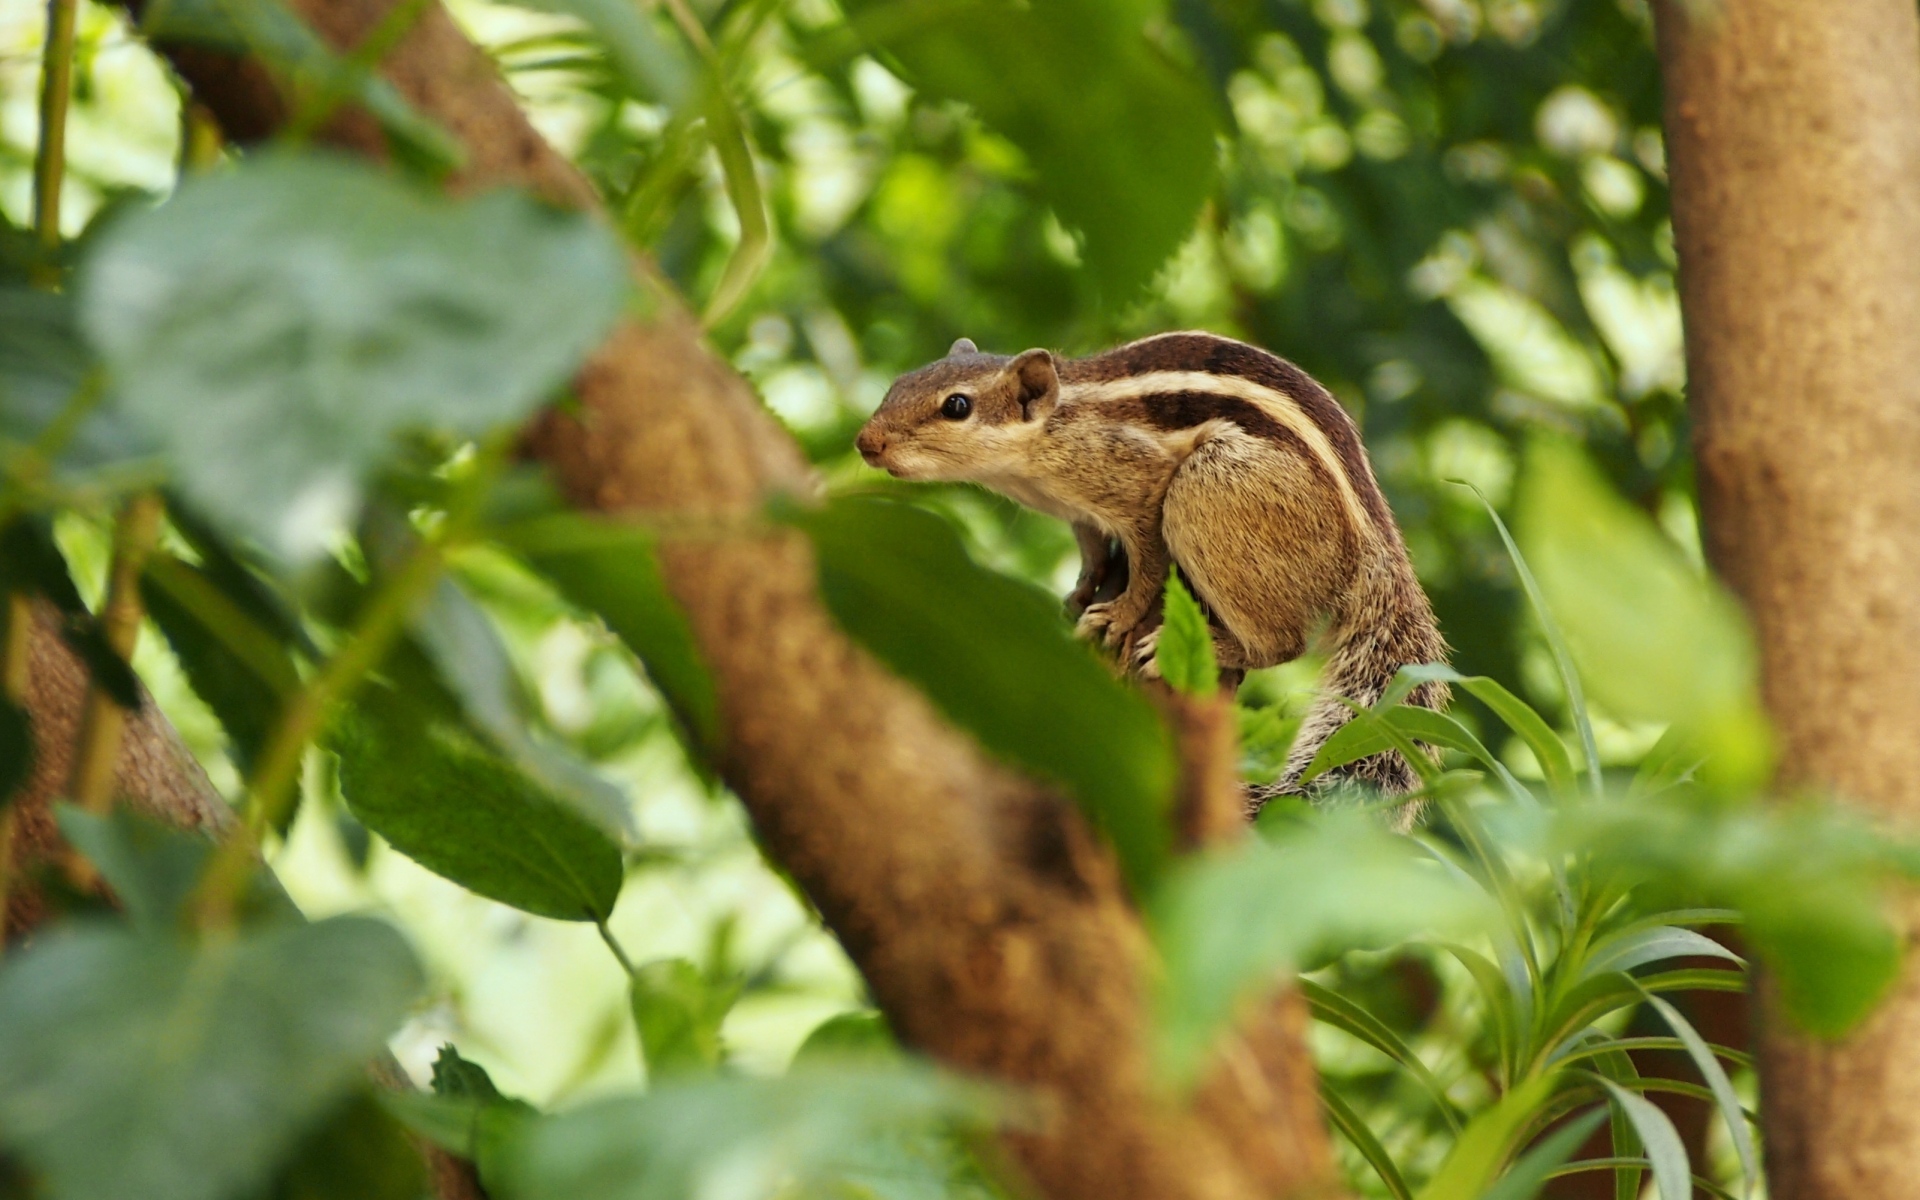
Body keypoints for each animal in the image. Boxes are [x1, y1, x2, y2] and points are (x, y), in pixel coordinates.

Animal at [854, 330, 1448, 801]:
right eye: (901, 382)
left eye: (957, 406)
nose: (865, 442)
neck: (1048, 438)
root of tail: (1376, 551)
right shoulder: (1080, 514)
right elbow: (1093, 552)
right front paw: (1079, 595)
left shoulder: (1141, 488)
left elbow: (1148, 564)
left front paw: (1117, 617)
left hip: (1206, 491)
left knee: (1283, 644)